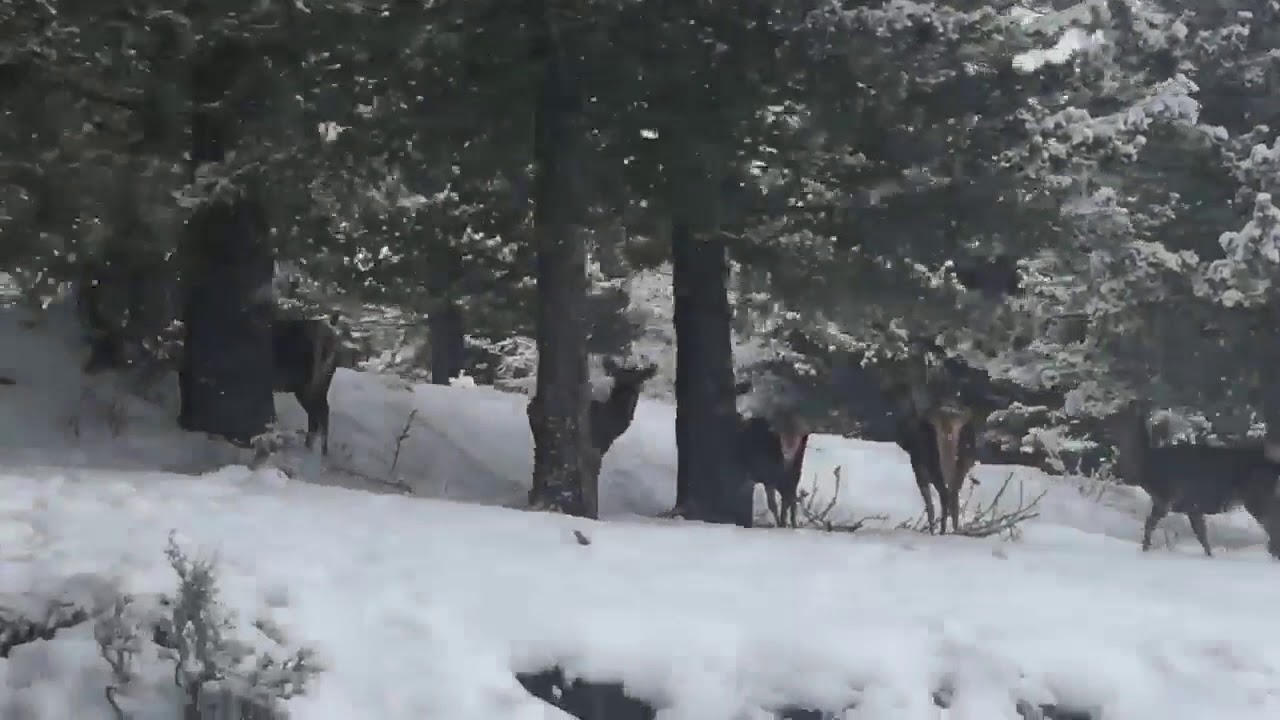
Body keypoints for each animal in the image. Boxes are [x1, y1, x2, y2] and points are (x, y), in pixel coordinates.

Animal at [1100, 397, 1280, 556]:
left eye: (1118, 414)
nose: (1101, 421)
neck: (1147, 465)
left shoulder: (1165, 498)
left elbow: (1149, 524)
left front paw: (1145, 552)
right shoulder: (1192, 507)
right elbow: (1202, 537)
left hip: (1258, 498)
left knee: (1272, 530)